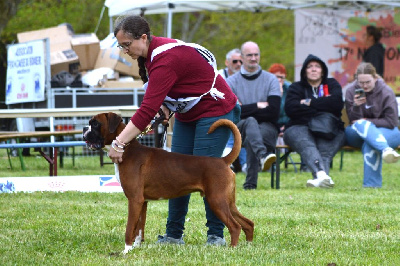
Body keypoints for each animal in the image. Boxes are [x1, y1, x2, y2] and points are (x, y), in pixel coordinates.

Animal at [83, 112, 255, 254]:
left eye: (95, 123)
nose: (85, 127)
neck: (127, 149)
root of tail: (222, 160)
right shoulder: (142, 202)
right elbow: (139, 228)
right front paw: (136, 248)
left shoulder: (134, 200)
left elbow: (129, 228)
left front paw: (126, 251)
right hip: (227, 202)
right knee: (248, 223)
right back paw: (248, 246)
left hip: (216, 201)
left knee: (235, 226)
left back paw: (232, 249)